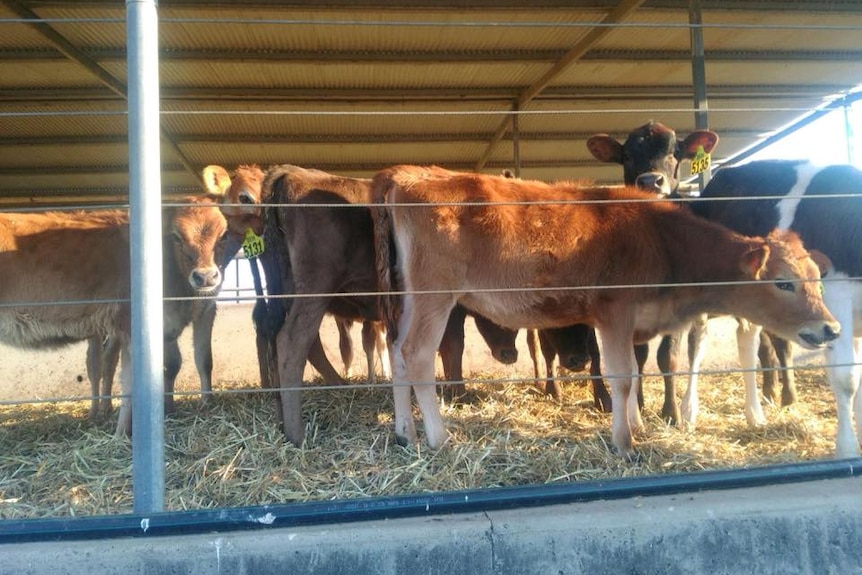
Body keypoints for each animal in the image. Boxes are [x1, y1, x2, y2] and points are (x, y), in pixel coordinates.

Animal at [696, 160, 862, 456]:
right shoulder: (837, 302)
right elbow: (847, 379)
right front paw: (847, 449)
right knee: (698, 340)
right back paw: (686, 412)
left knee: (747, 342)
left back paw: (754, 414)